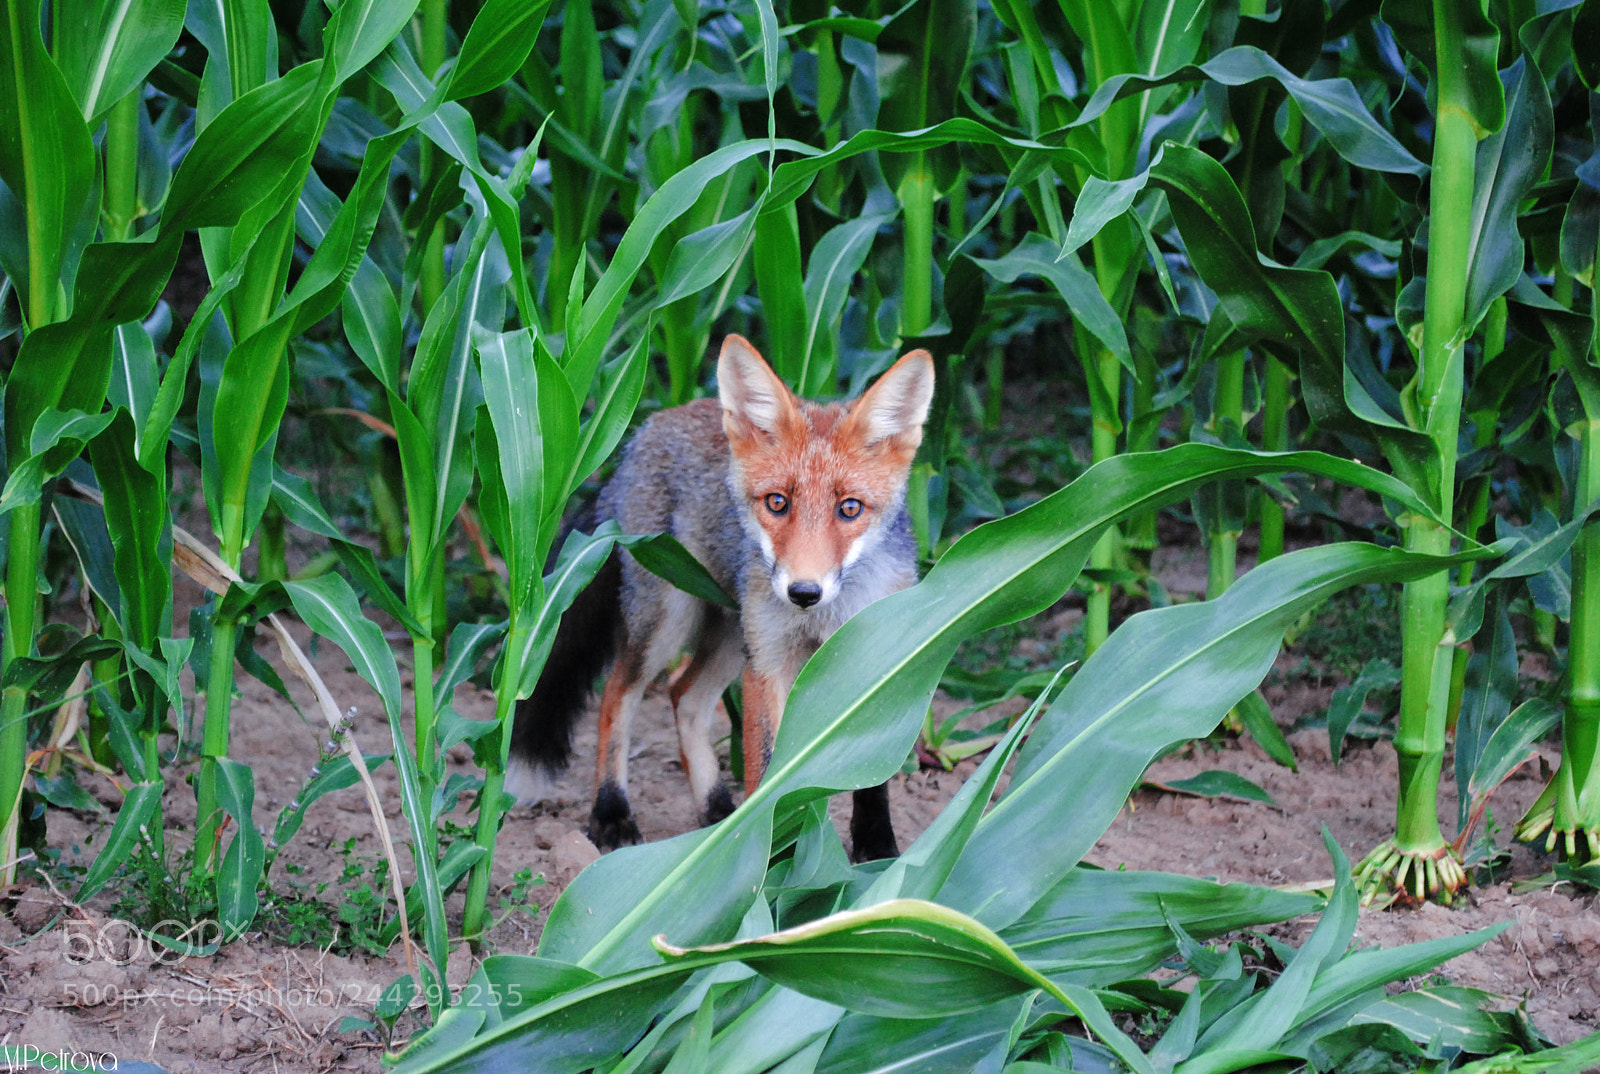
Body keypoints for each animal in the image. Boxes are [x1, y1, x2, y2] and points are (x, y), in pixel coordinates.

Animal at [507, 334, 935, 861]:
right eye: (778, 503)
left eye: (849, 508)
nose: (803, 592)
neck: (823, 619)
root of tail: (645, 429)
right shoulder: (767, 665)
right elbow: (768, 772)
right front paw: (771, 858)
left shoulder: (875, 660)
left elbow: (873, 771)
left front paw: (877, 848)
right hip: (670, 624)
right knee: (617, 697)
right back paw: (612, 813)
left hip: (732, 635)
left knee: (684, 697)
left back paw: (715, 810)